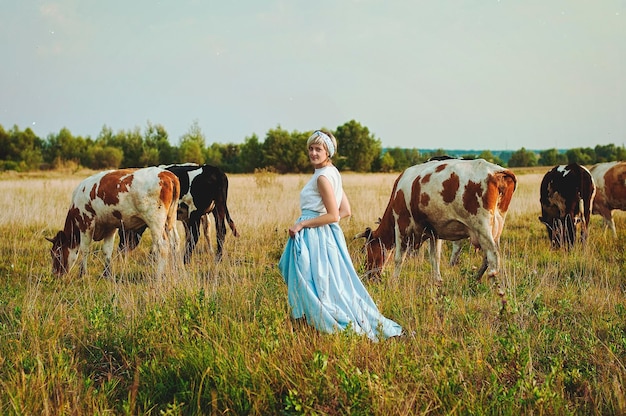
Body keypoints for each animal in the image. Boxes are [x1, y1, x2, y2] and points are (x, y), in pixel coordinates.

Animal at [47, 167, 179, 278]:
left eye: (57, 254)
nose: (55, 273)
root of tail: (167, 175)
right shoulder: (109, 227)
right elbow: (107, 249)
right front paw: (107, 273)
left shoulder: (86, 223)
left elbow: (84, 249)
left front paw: (82, 273)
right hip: (169, 221)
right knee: (174, 242)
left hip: (155, 221)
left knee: (162, 246)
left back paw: (158, 277)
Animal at [354, 158, 516, 288]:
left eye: (368, 249)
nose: (368, 275)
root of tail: (497, 171)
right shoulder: (433, 231)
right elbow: (434, 257)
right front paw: (437, 281)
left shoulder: (401, 224)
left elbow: (399, 257)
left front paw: (393, 282)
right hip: (496, 227)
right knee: (488, 258)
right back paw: (475, 280)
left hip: (482, 226)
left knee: (493, 256)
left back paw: (495, 288)